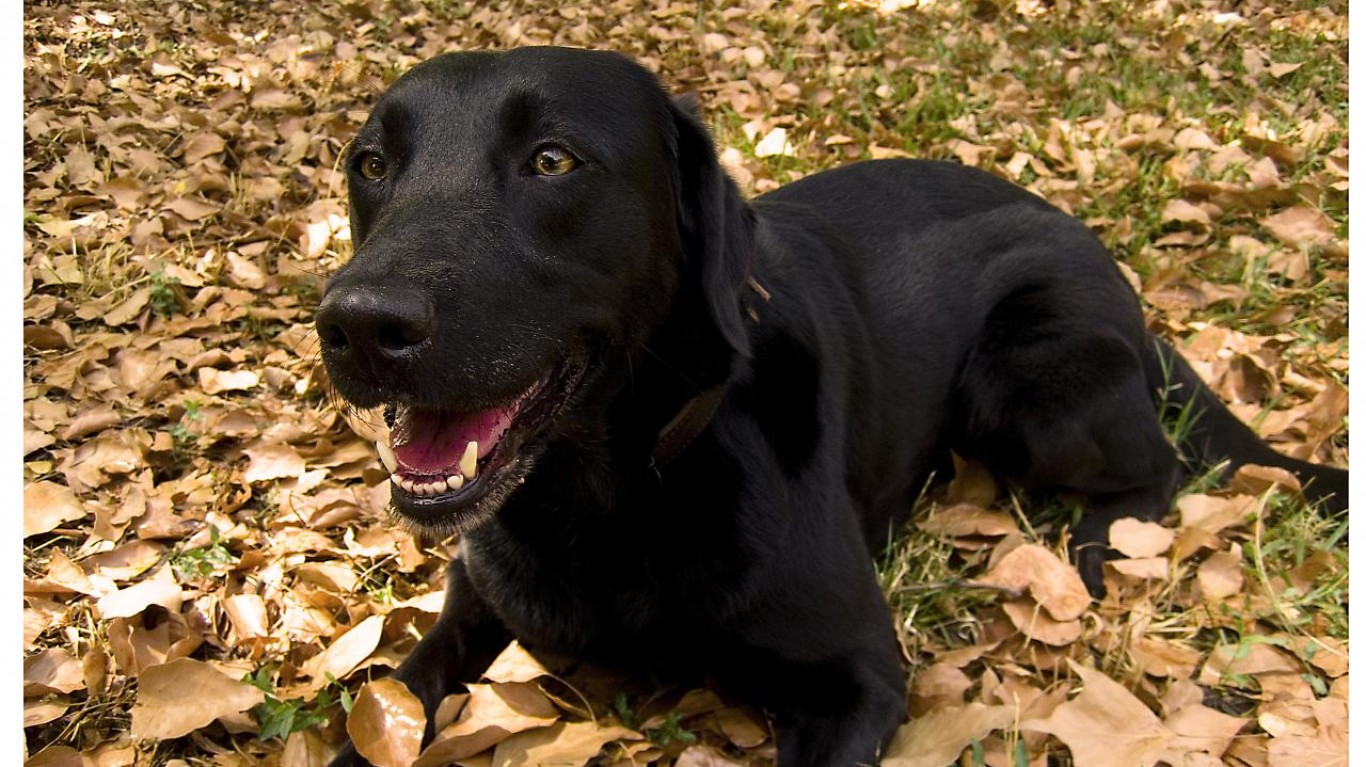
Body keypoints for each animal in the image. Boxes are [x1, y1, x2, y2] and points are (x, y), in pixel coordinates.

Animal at [312, 46, 1344, 765]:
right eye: (370, 164)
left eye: (553, 159)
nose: (357, 323)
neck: (611, 499)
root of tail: (1095, 249)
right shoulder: (467, 609)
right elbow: (395, 690)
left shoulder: (858, 679)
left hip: (1030, 382)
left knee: (1160, 464)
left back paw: (1101, 543)